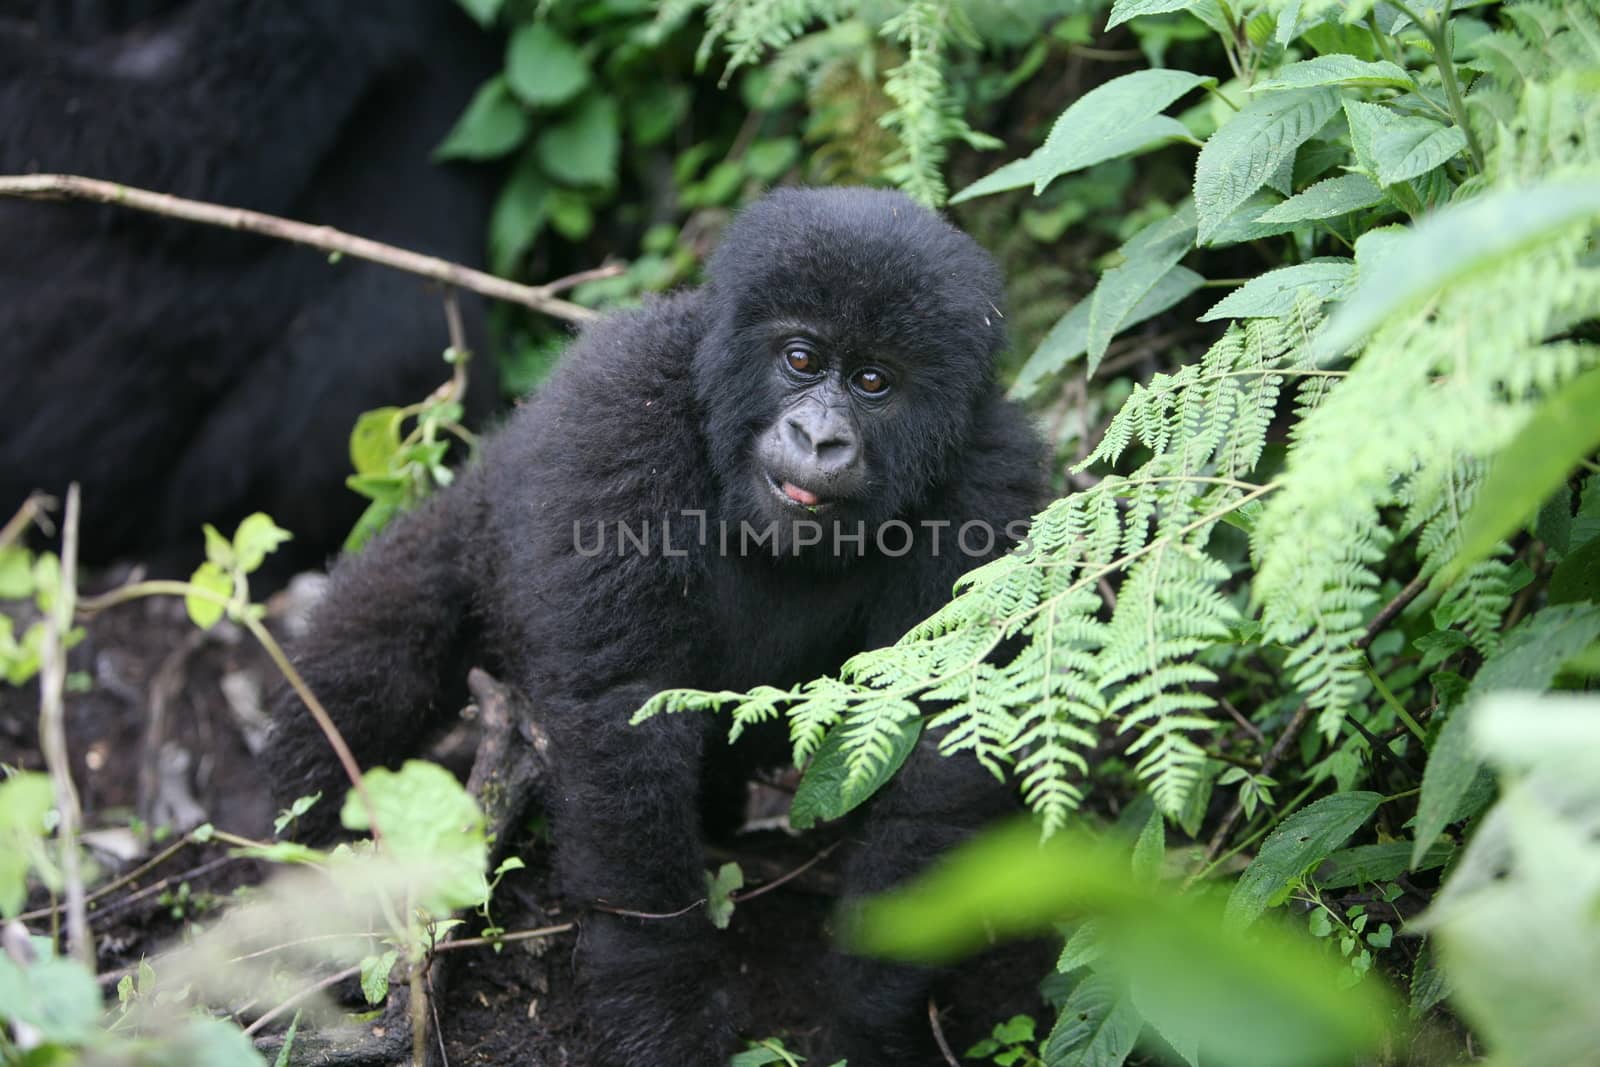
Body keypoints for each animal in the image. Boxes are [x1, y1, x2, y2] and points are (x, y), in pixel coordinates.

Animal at [268, 187, 1049, 1062]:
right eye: (801, 360)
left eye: (874, 380)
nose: (818, 436)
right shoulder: (623, 404)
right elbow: (623, 709)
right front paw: (660, 1006)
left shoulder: (993, 481)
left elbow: (949, 735)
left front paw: (872, 1005)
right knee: (368, 664)